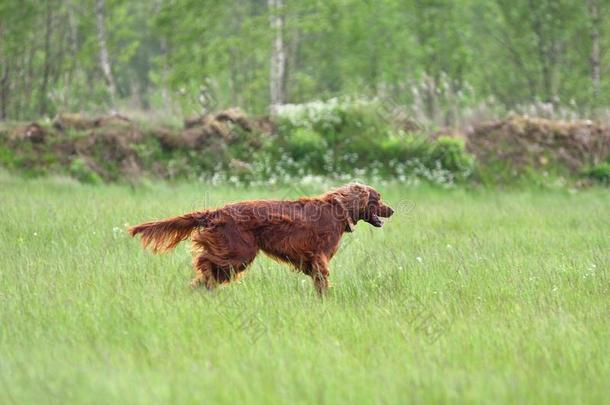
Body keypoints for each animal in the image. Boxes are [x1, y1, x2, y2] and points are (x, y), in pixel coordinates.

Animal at [129, 183, 394, 294]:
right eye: (378, 198)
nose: (392, 210)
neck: (338, 209)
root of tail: (216, 212)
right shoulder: (319, 257)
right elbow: (323, 280)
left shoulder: (311, 260)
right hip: (239, 253)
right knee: (205, 263)